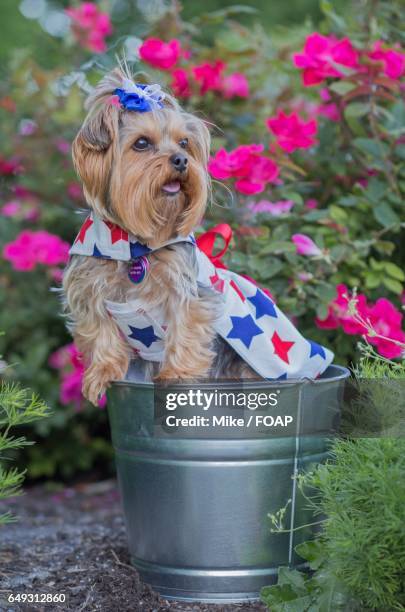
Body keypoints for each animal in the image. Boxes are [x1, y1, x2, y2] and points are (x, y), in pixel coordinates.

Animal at [63, 68, 332, 406]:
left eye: (184, 142)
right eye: (141, 143)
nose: (180, 160)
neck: (134, 245)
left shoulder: (187, 293)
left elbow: (186, 329)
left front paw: (176, 376)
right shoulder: (89, 290)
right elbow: (100, 332)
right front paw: (102, 373)